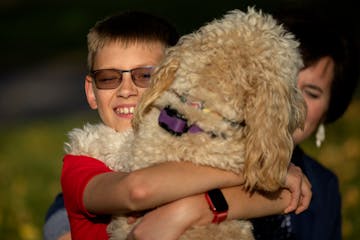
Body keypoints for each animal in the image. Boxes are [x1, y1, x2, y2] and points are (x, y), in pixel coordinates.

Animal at [66, 7, 306, 240]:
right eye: (294, 77)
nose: (301, 108)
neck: (199, 113)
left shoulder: (138, 158)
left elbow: (118, 142)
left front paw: (83, 138)